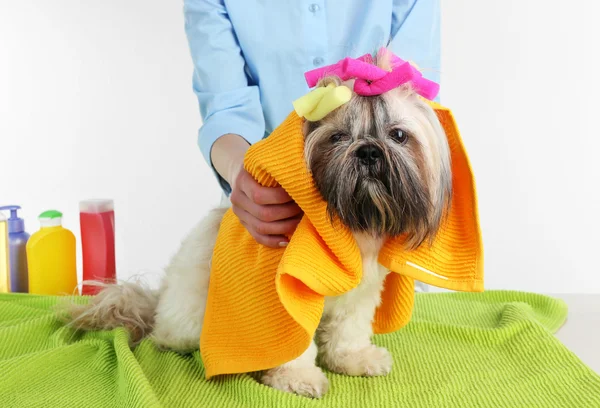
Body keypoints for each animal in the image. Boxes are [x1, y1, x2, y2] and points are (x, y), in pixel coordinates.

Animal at [64, 53, 450, 398]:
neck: (350, 224)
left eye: (398, 135)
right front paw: (296, 378)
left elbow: (348, 329)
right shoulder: (283, 301)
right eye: (337, 137)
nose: (369, 151)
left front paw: (352, 359)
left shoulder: (359, 293)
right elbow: (292, 345)